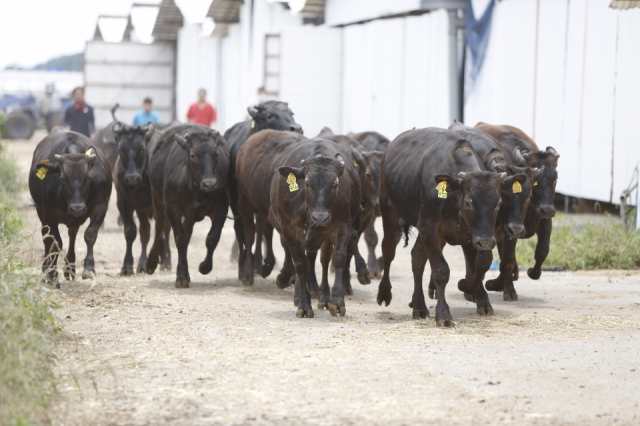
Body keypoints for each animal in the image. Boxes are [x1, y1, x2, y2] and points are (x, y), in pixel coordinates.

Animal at [28, 131, 112, 286]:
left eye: (87, 178)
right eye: (62, 178)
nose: (77, 208)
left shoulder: (100, 206)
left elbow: (90, 235)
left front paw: (89, 269)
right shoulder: (49, 214)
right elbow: (56, 243)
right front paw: (52, 274)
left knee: (72, 235)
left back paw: (70, 268)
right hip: (42, 214)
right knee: (47, 239)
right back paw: (46, 269)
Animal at [145, 125, 230, 288]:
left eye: (215, 153)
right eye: (193, 155)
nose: (209, 184)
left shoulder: (221, 209)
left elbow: (212, 238)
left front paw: (204, 266)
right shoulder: (173, 209)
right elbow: (180, 239)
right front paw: (181, 277)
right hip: (157, 200)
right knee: (160, 229)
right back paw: (150, 263)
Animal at [270, 136, 358, 316]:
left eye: (335, 183)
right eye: (308, 183)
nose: (320, 218)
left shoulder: (343, 226)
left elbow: (338, 259)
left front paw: (337, 302)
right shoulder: (290, 230)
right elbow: (300, 264)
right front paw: (304, 305)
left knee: (323, 261)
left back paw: (323, 297)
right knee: (304, 262)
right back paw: (299, 297)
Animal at [376, 126, 504, 326]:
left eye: (498, 203)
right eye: (468, 202)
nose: (485, 242)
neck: (452, 194)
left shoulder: (471, 234)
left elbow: (481, 264)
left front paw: (476, 294)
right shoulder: (430, 229)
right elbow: (441, 271)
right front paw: (443, 314)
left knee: (417, 258)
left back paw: (418, 305)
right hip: (391, 216)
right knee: (388, 252)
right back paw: (385, 293)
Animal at [476, 121, 560, 298]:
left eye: (555, 179)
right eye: (536, 181)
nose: (547, 209)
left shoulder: (545, 221)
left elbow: (543, 250)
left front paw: (532, 272)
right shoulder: (507, 229)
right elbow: (506, 258)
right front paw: (503, 287)